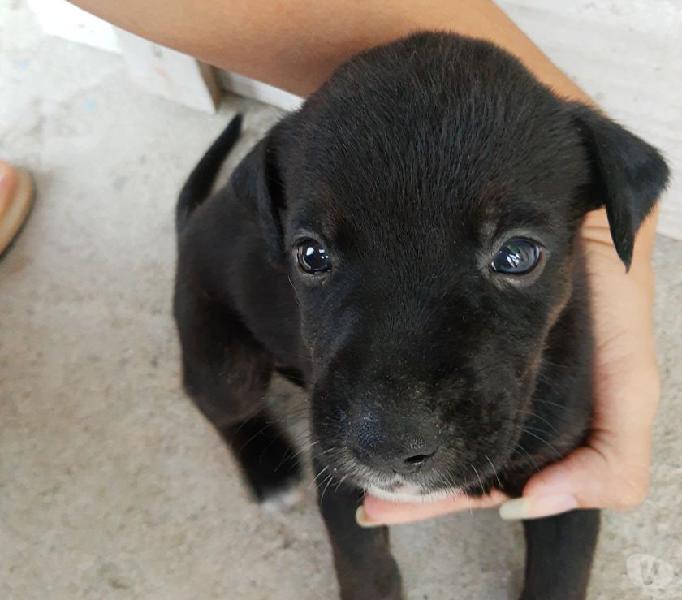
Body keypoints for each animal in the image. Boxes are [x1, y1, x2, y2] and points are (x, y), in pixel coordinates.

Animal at [173, 32, 668, 600]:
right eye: (311, 255)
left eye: (517, 255)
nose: (388, 448)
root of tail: (193, 223)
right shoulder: (337, 475)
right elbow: (362, 561)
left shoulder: (567, 485)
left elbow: (560, 575)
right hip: (227, 364)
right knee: (217, 405)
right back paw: (268, 471)